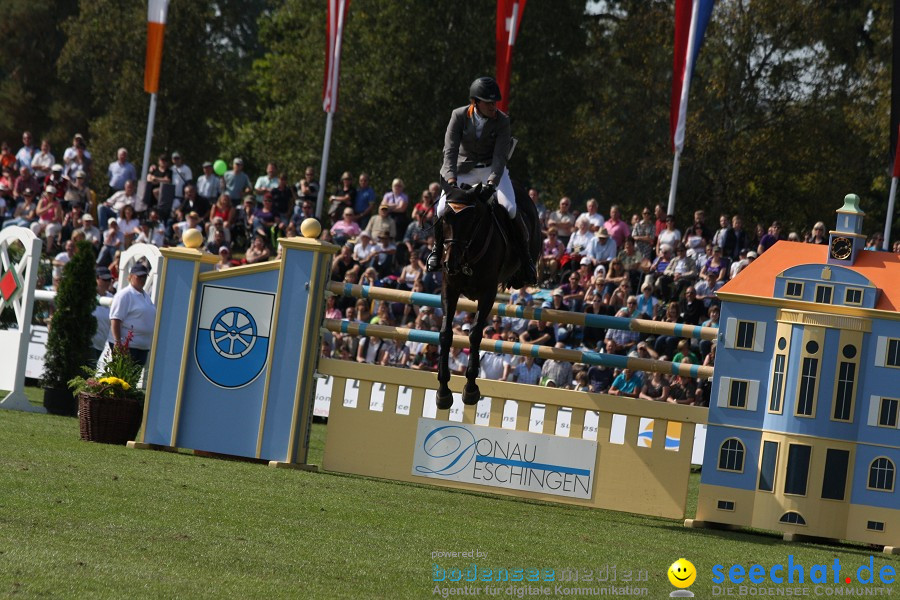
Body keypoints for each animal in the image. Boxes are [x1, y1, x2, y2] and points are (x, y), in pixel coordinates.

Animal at [436, 180, 540, 410]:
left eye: (471, 219)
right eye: (444, 218)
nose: (451, 263)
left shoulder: (488, 293)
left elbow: (475, 334)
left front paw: (471, 390)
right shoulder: (449, 288)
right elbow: (446, 333)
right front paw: (443, 391)